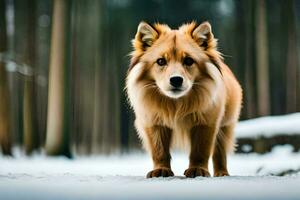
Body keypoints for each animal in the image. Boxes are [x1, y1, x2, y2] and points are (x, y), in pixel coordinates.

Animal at [125, 21, 243, 178]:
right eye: (161, 61)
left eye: (188, 60)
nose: (176, 80)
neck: (176, 104)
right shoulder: (153, 123)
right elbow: (159, 151)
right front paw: (161, 170)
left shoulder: (206, 122)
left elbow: (200, 151)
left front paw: (198, 170)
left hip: (225, 126)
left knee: (220, 153)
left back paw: (222, 173)